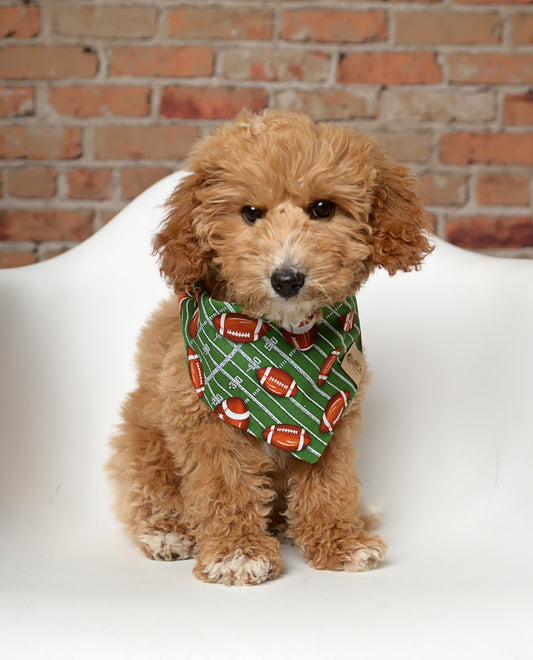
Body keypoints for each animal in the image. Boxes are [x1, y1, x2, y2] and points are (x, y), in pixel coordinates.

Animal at [105, 109, 432, 588]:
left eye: (322, 208)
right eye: (250, 214)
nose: (287, 278)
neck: (288, 340)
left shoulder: (333, 418)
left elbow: (329, 484)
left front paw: (340, 541)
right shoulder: (203, 421)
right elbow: (225, 486)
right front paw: (237, 553)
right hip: (141, 439)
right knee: (150, 492)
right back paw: (168, 532)